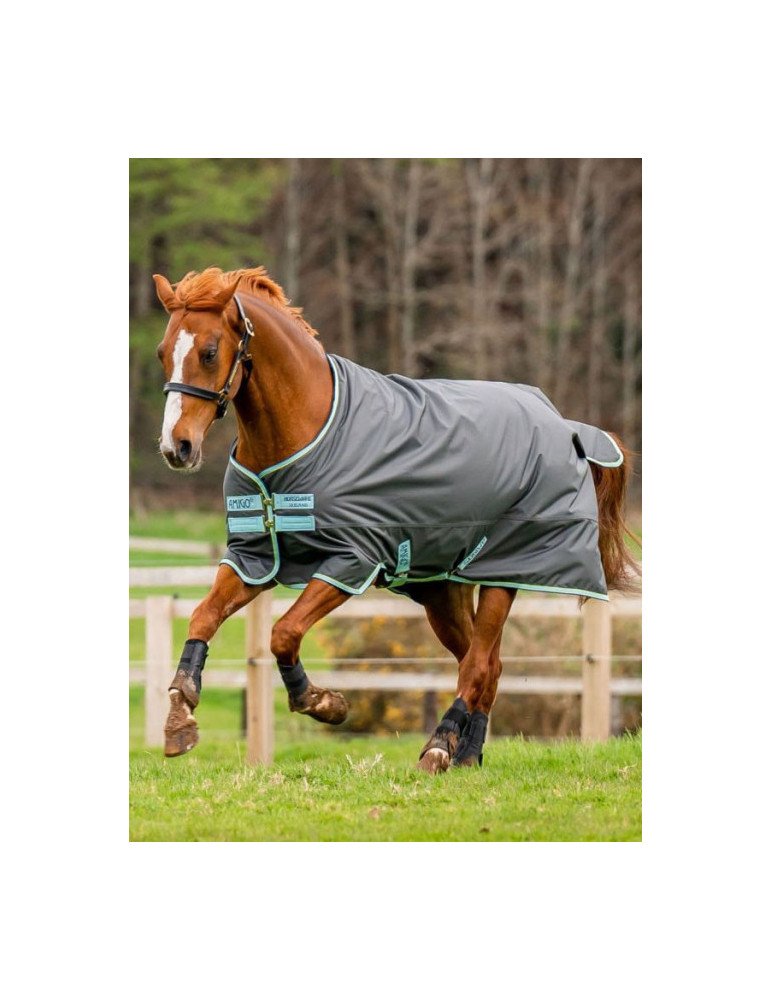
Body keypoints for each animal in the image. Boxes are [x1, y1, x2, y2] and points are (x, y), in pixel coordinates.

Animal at [153, 266, 638, 772]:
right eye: (163, 353)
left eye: (209, 352)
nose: (176, 447)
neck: (303, 433)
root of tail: (565, 425)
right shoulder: (254, 559)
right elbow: (203, 617)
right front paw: (180, 716)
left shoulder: (351, 562)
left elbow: (283, 633)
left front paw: (324, 703)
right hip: (444, 591)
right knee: (487, 665)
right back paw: (467, 754)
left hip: (506, 573)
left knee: (478, 665)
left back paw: (439, 747)